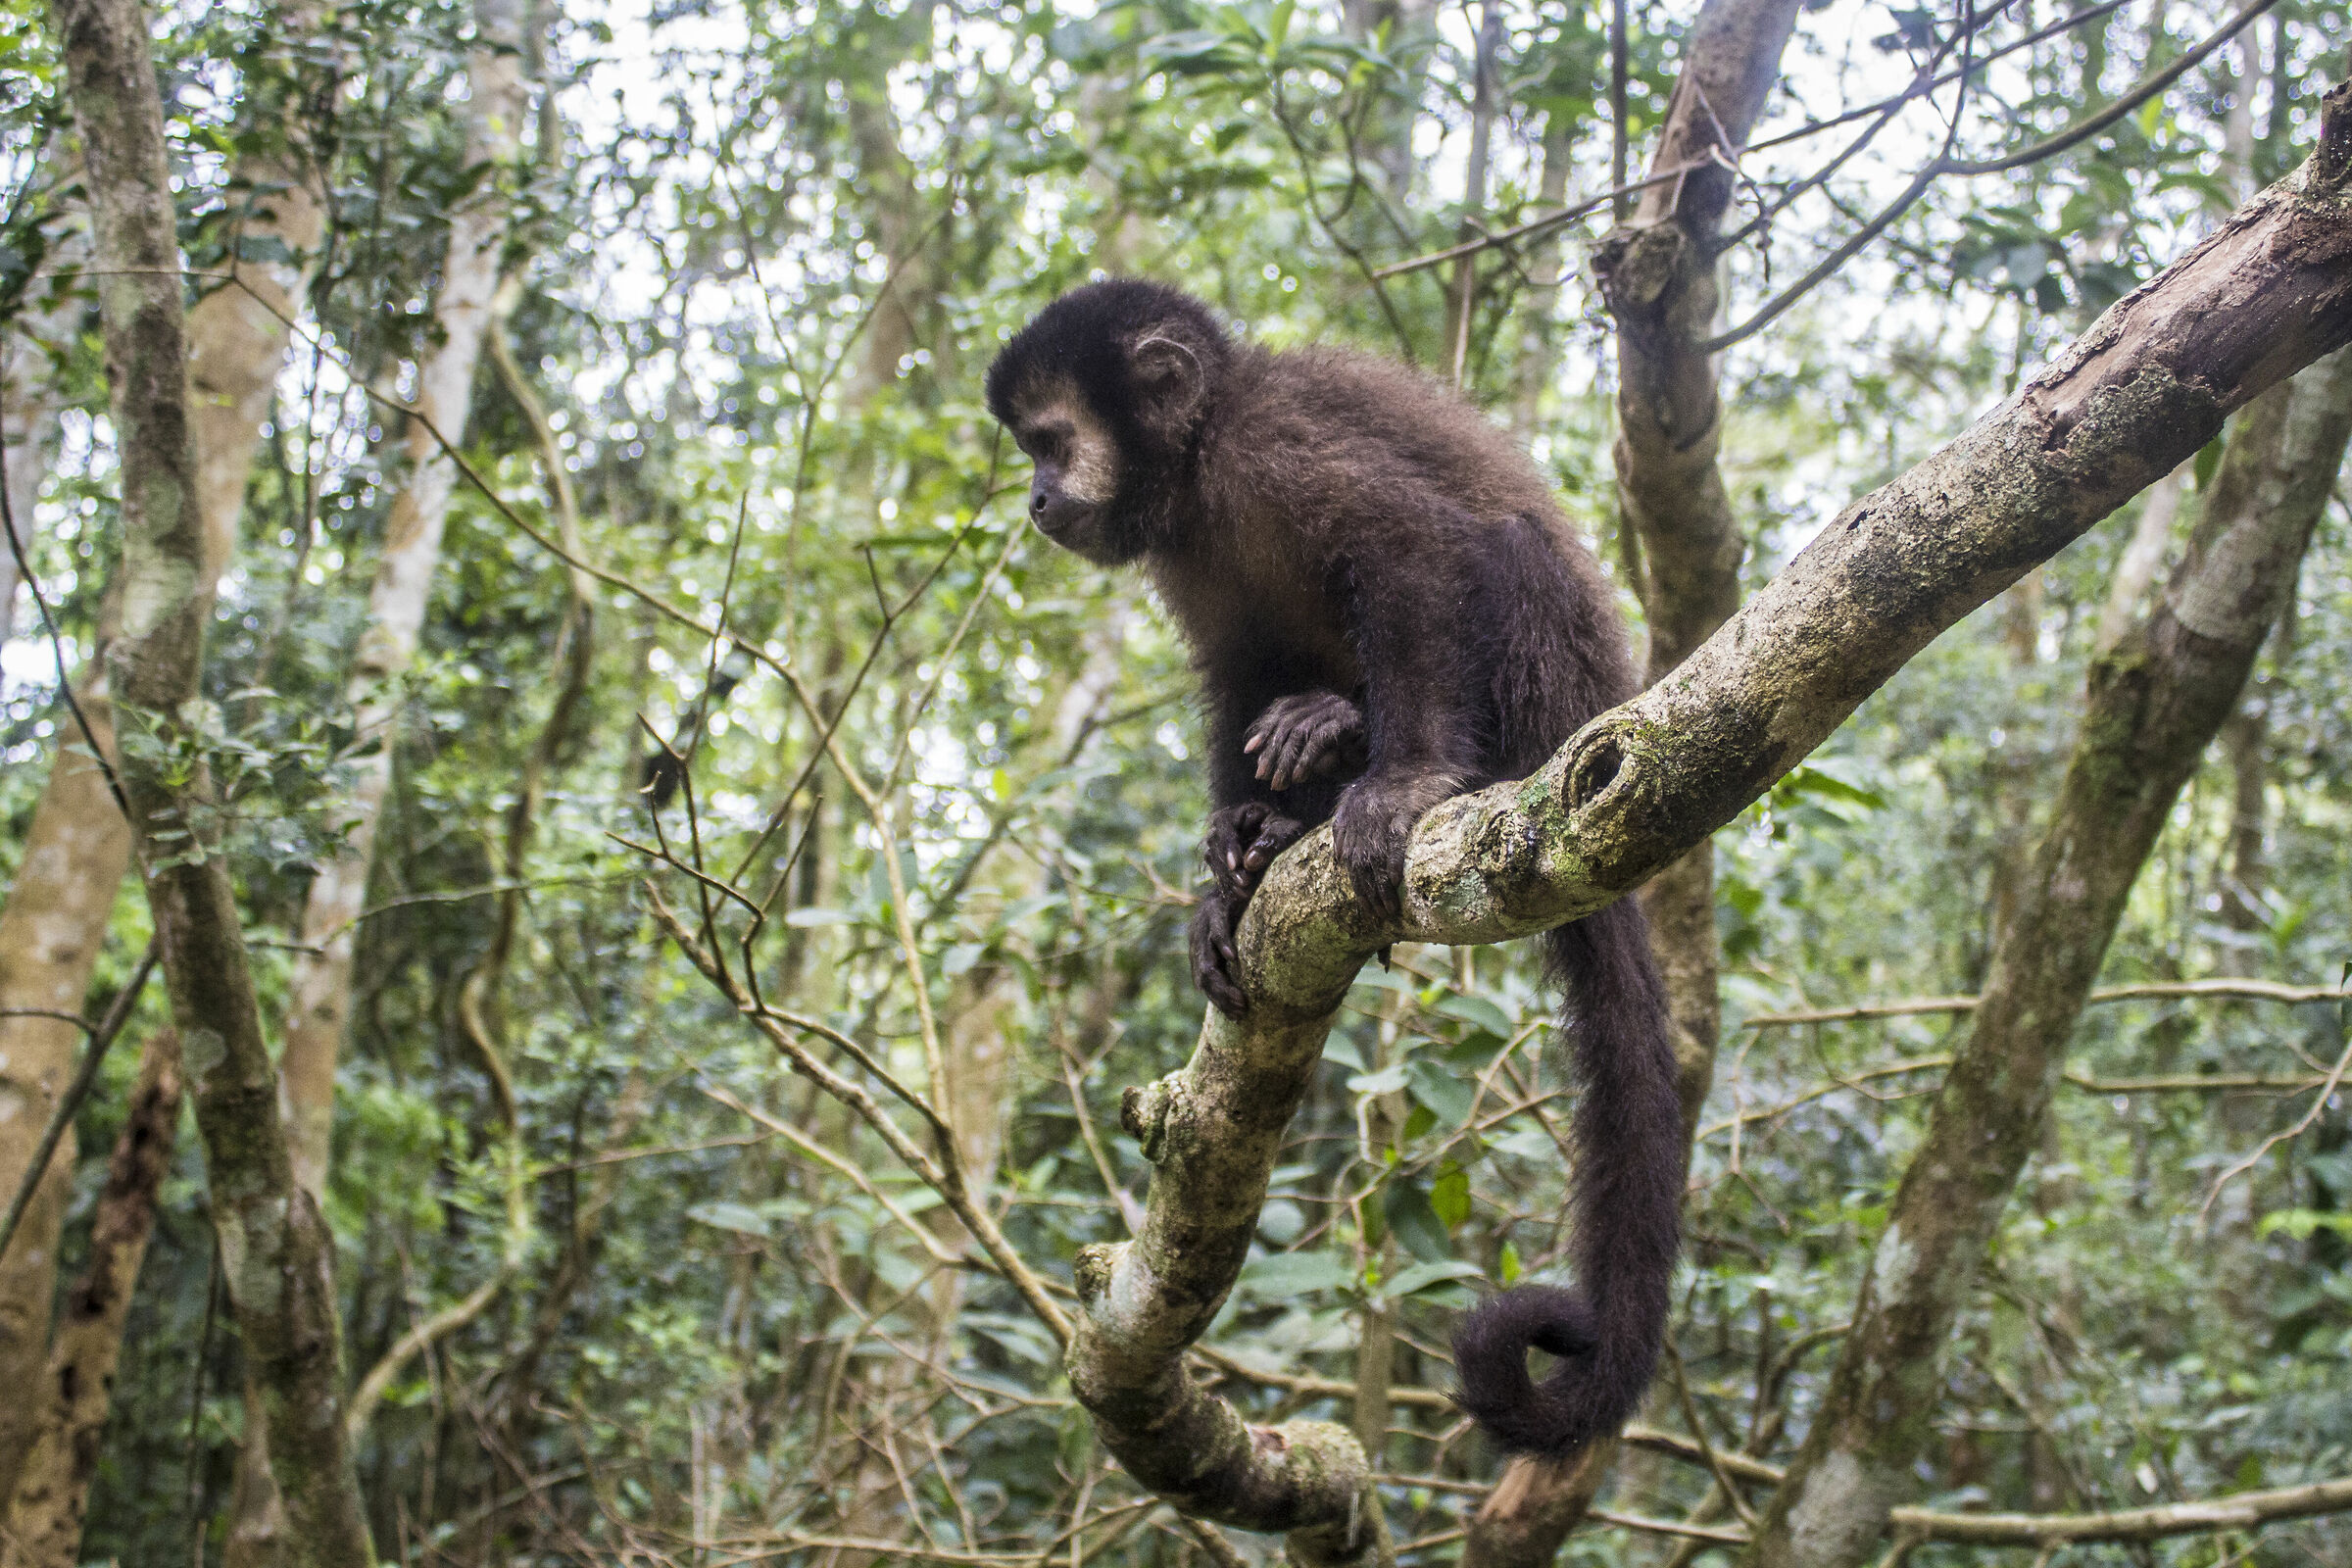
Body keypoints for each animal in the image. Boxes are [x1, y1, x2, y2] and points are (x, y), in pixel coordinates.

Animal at [984, 279, 1680, 1459]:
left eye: (1049, 442)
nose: (1035, 498)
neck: (1204, 453)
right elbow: (1234, 670)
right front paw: (1229, 869)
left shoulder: (1278, 446)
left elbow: (1416, 548)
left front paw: (1405, 781)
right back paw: (1290, 803)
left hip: (1549, 697)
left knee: (1497, 549)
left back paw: (1392, 752)